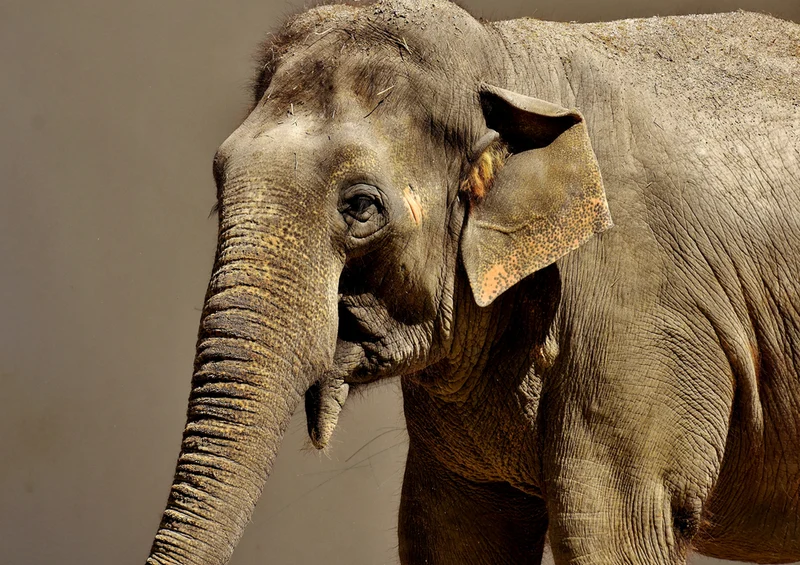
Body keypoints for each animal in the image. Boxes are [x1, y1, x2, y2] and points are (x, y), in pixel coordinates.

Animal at [145, 0, 800, 563]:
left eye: (361, 207)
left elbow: (614, 529)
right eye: (218, 182)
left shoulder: (641, 316)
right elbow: (453, 530)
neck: (505, 63)